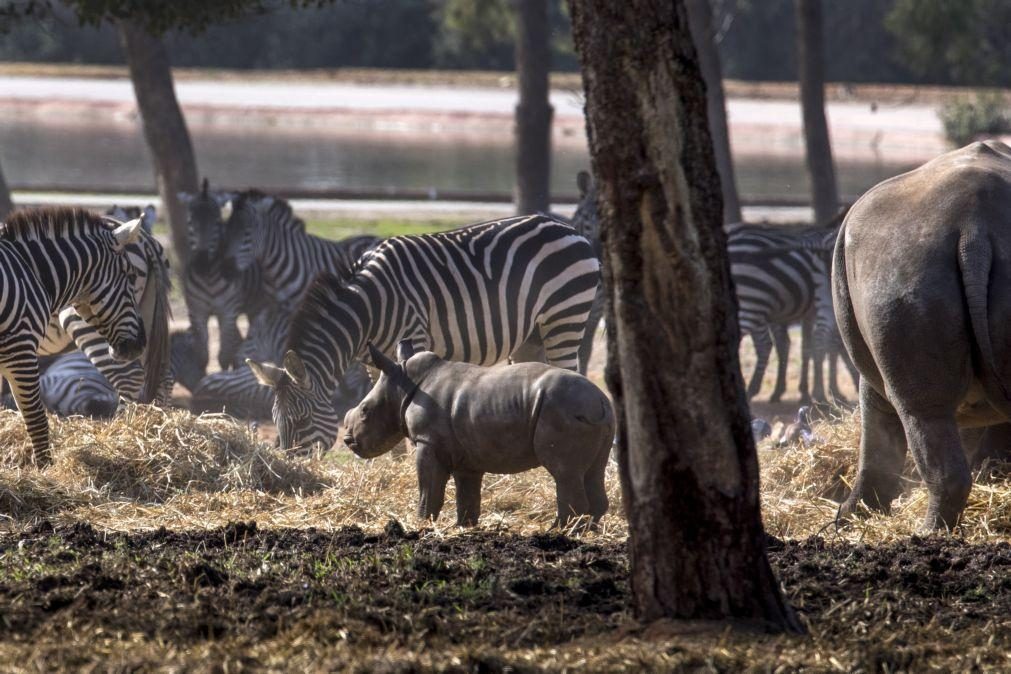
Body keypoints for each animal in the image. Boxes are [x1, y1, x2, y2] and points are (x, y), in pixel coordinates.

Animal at [0, 209, 147, 464]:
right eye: (130, 276)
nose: (140, 344)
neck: (31, 272)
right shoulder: (21, 351)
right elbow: (36, 419)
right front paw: (45, 469)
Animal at [246, 213, 598, 450]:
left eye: (301, 421)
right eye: (276, 421)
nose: (292, 468)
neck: (367, 311)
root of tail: (568, 229)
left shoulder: (412, 340)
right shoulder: (372, 361)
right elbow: (378, 401)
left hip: (565, 316)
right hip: (531, 336)